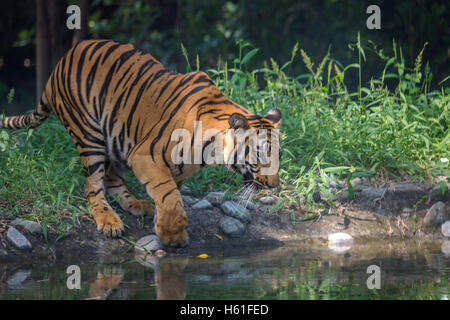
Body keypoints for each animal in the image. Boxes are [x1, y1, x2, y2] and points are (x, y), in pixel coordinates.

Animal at [1, 38, 282, 246]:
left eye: (278, 156)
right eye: (260, 154)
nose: (274, 186)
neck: (210, 152)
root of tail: (58, 66)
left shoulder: (174, 168)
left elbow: (170, 194)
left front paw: (162, 223)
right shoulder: (145, 154)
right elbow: (169, 196)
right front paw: (173, 235)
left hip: (114, 137)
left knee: (111, 177)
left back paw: (136, 205)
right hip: (89, 135)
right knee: (92, 188)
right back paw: (109, 222)